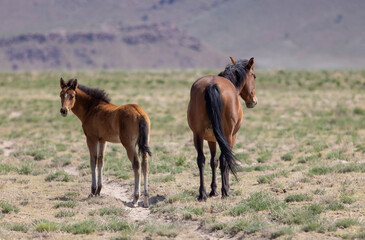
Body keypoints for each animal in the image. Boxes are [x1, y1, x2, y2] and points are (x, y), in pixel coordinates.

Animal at [59, 79, 151, 208]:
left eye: (72, 96)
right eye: (61, 94)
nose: (63, 111)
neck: (92, 108)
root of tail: (139, 113)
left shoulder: (91, 138)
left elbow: (93, 161)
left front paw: (92, 191)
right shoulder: (102, 140)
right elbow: (100, 161)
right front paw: (98, 191)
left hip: (129, 145)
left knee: (136, 164)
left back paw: (135, 199)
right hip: (143, 143)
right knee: (145, 164)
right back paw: (146, 200)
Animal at [188, 56, 256, 201]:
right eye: (254, 76)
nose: (253, 100)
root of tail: (212, 85)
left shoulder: (211, 138)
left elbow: (213, 161)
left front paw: (213, 190)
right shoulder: (232, 136)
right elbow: (225, 159)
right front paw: (225, 187)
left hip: (197, 135)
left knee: (201, 160)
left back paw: (202, 193)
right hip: (228, 135)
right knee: (225, 159)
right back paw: (225, 191)